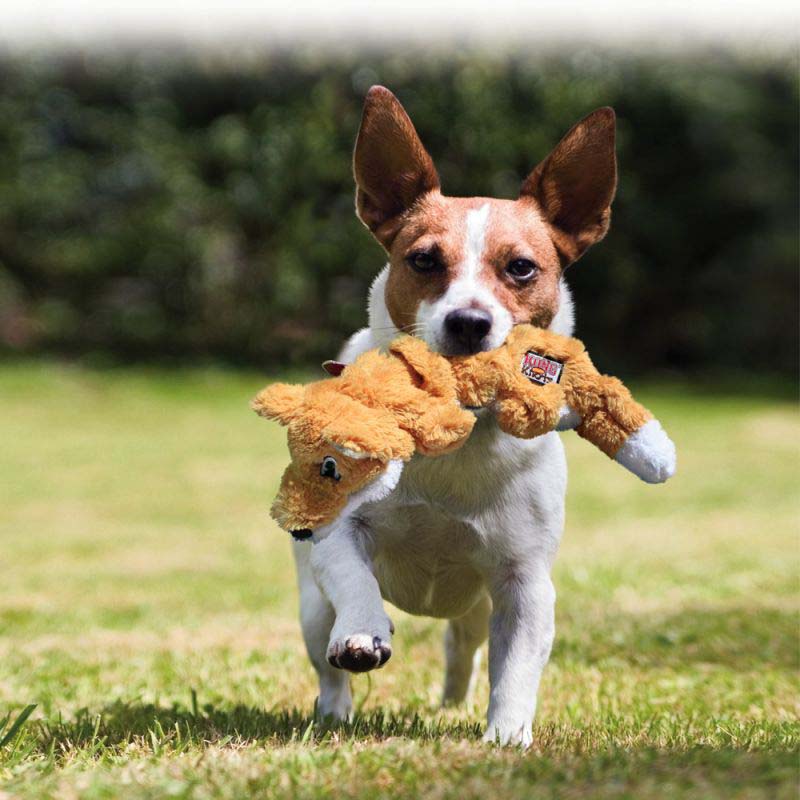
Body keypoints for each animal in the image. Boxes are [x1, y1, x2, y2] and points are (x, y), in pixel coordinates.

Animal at [290, 86, 616, 744]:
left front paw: (507, 735)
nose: (469, 322)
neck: (456, 428)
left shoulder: (523, 582)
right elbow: (354, 578)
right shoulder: (340, 537)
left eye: (521, 267)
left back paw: (454, 701)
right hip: (311, 606)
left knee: (462, 646)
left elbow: (516, 666)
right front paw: (362, 632)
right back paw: (335, 707)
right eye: (422, 260)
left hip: (476, 607)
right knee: (327, 660)